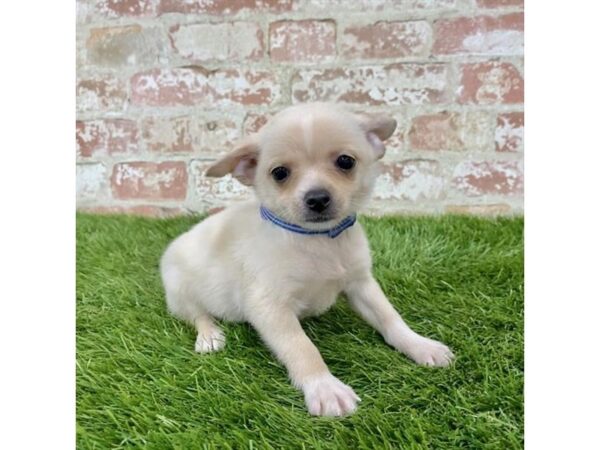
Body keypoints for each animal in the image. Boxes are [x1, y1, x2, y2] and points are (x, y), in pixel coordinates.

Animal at [162, 101, 452, 414]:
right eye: (279, 173)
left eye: (346, 162)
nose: (317, 199)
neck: (318, 240)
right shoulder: (269, 307)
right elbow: (301, 347)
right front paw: (324, 387)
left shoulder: (361, 284)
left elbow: (391, 319)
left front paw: (421, 345)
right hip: (179, 290)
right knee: (197, 314)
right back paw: (210, 336)